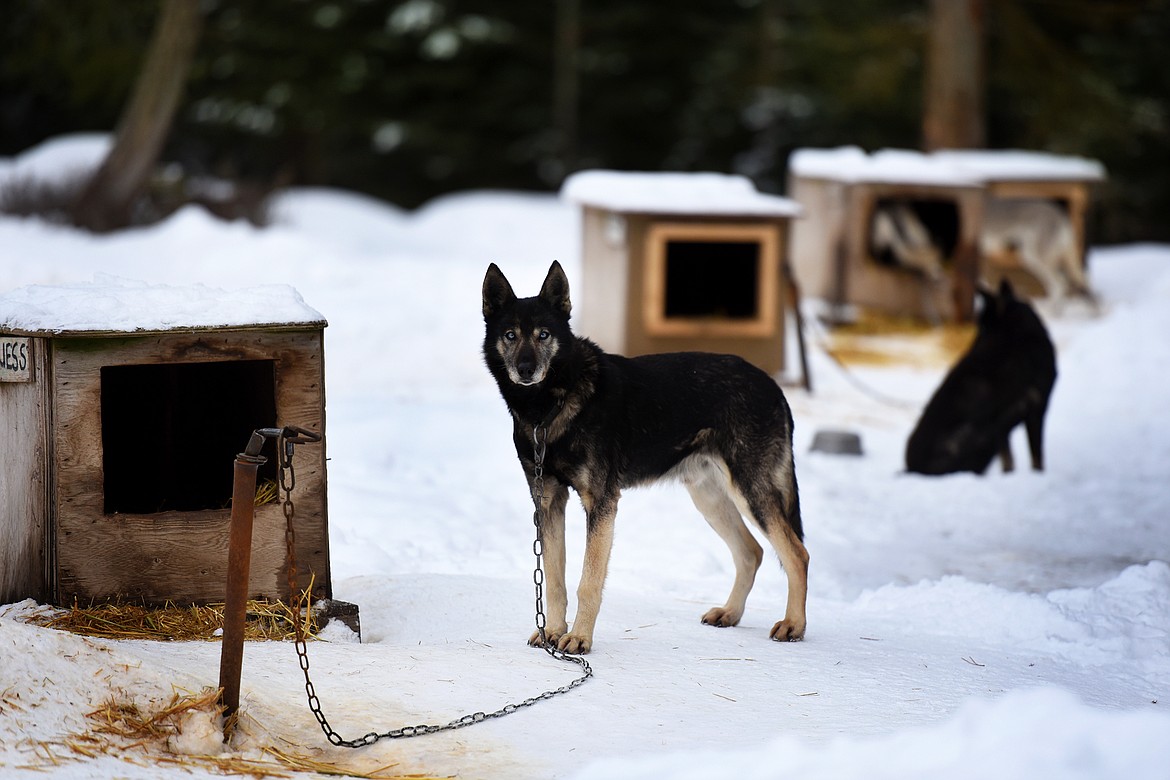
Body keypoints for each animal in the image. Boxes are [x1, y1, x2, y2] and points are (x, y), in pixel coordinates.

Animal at [479, 261, 809, 654]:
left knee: (797, 554)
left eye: (543, 334)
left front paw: (579, 638)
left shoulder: (601, 503)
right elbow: (556, 580)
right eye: (510, 335)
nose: (526, 370)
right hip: (711, 499)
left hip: (750, 492)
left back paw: (793, 625)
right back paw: (730, 613)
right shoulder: (548, 502)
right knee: (751, 552)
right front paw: (553, 633)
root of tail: (772, 385)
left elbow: (587, 581)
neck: (549, 406)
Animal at [903, 280, 1062, 477]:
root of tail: (911, 469)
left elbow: (1034, 460)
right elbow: (1015, 461)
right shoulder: (1004, 419)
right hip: (977, 438)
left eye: (984, 327)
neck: (1020, 343)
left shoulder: (1032, 411)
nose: (970, 348)